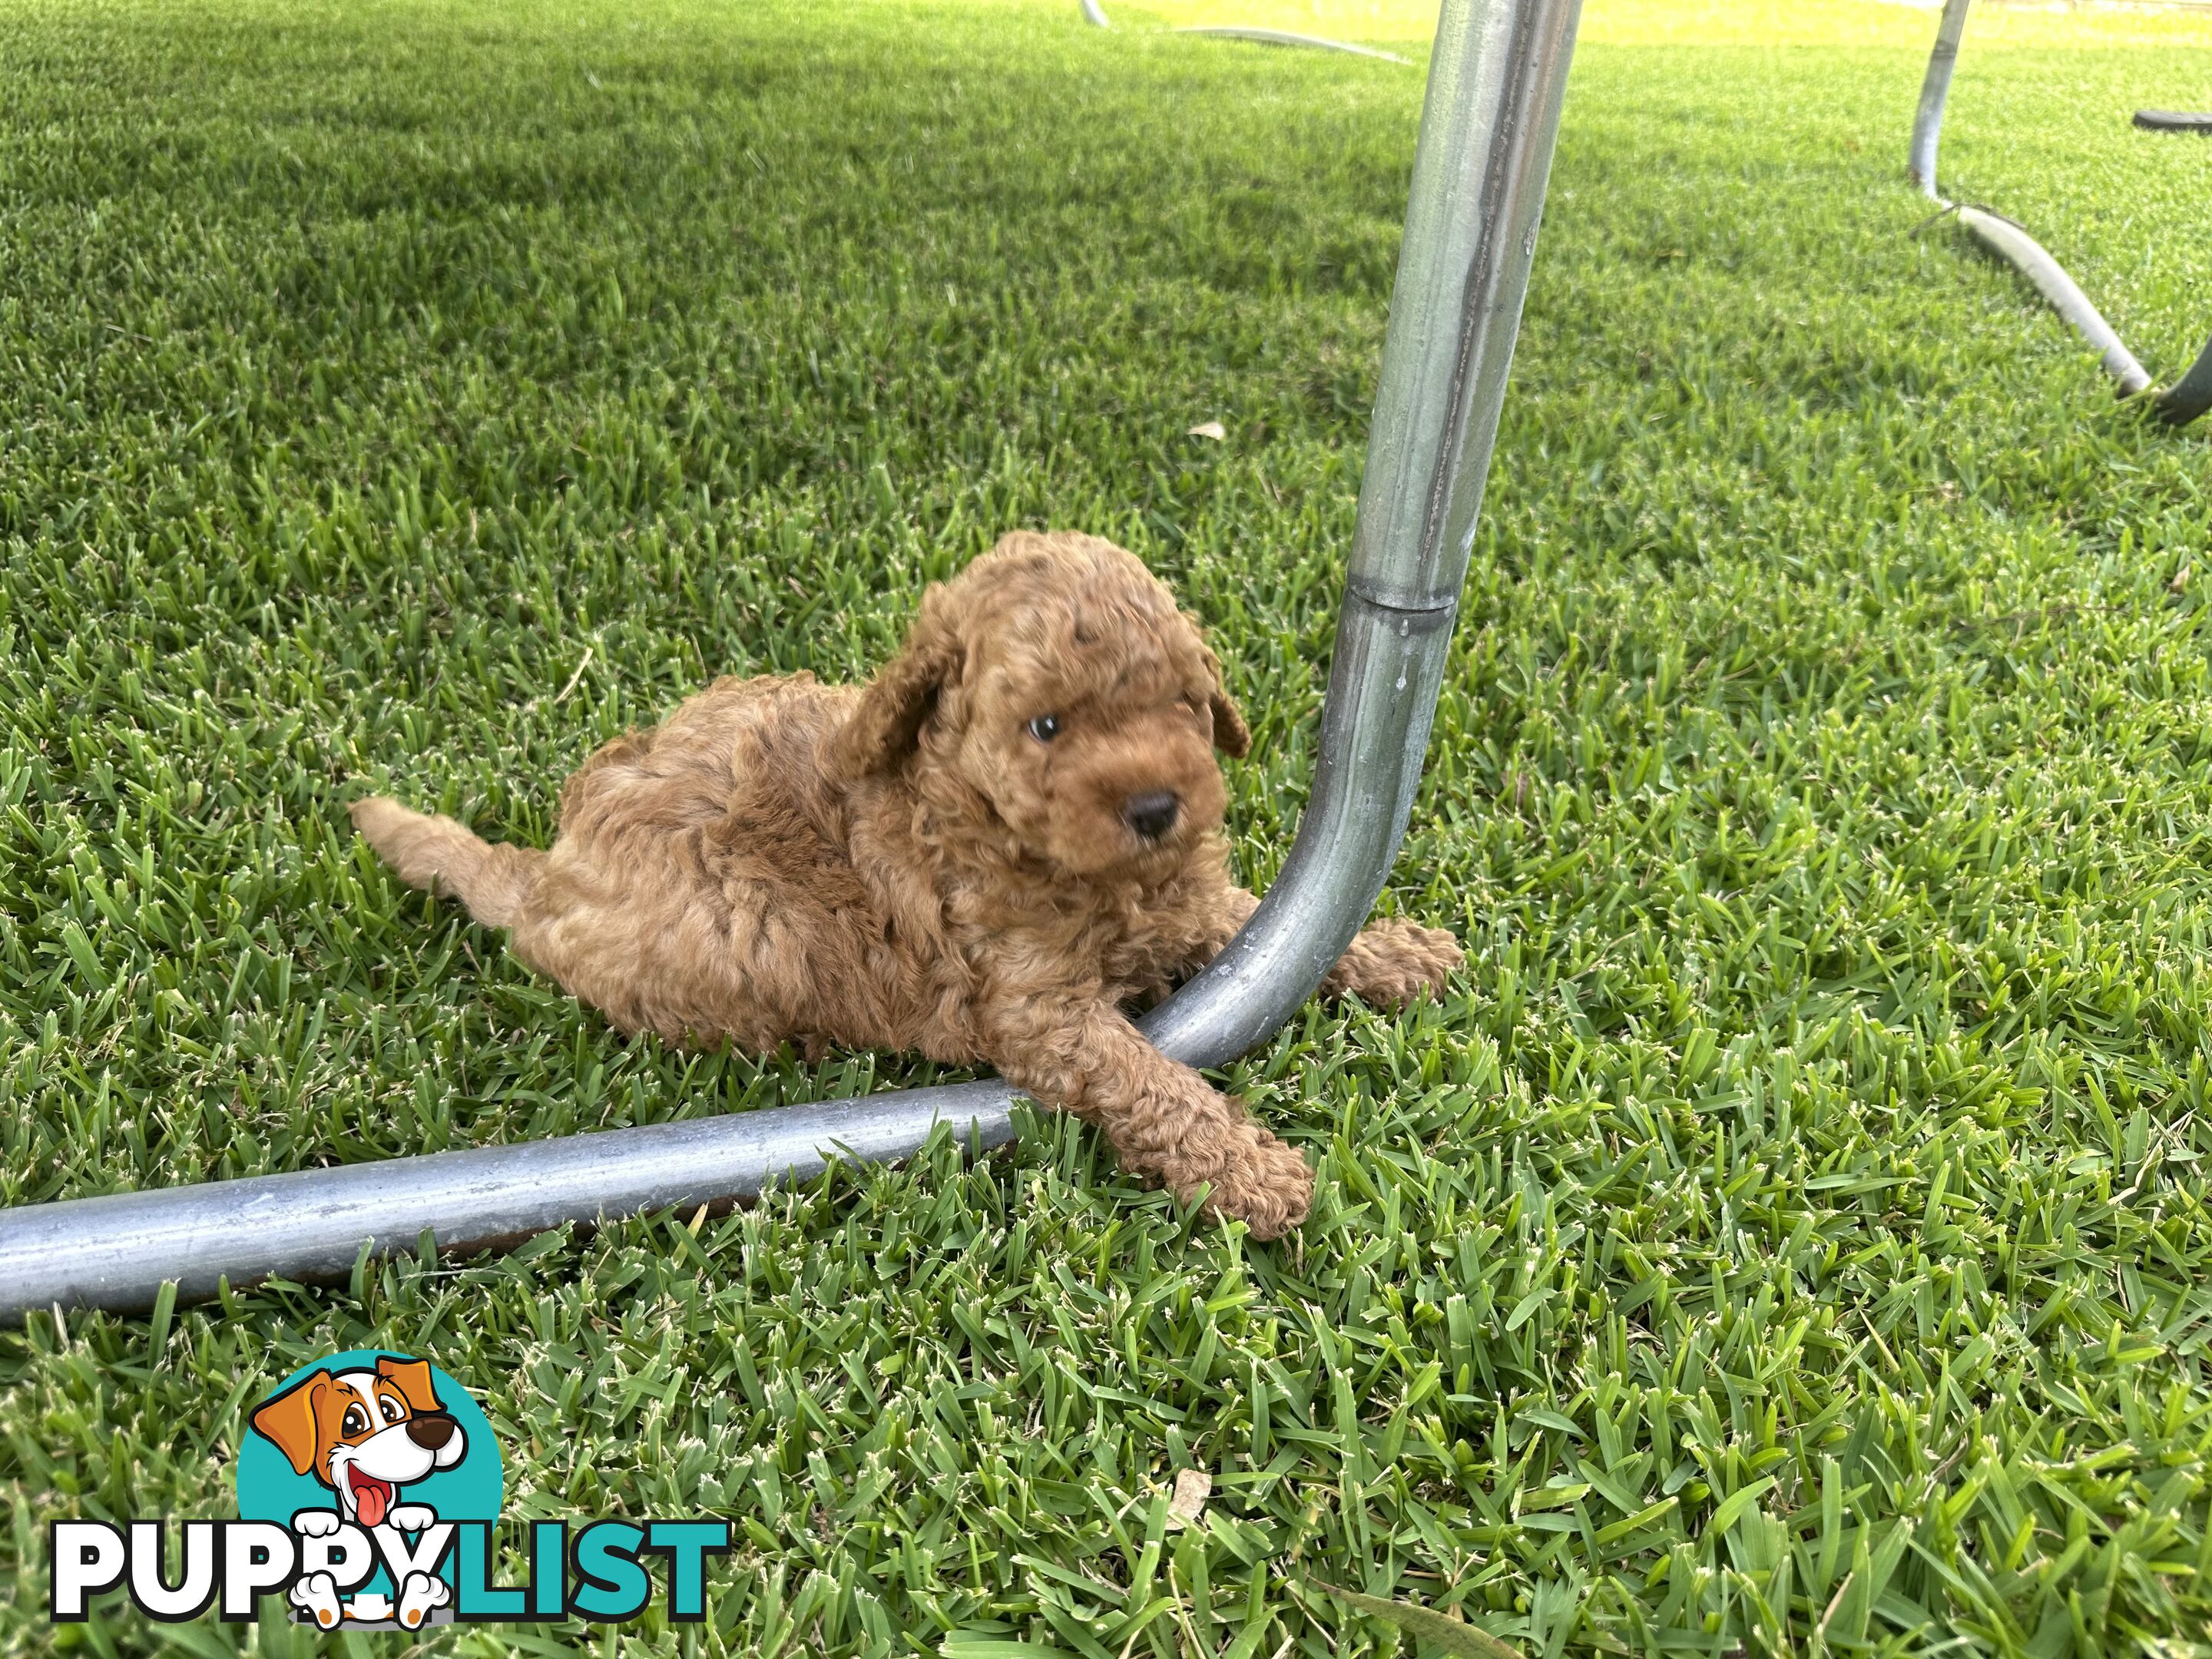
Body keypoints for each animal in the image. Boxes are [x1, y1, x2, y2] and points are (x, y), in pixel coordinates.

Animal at [353, 528, 1469, 1238]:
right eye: (1047, 726)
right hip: (736, 933)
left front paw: (1398, 952)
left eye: (1185, 703)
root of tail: (550, 869)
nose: (1159, 806)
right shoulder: (1038, 1008)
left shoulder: (1191, 903)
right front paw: (1255, 1172)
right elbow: (1153, 1081)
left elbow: (1263, 921)